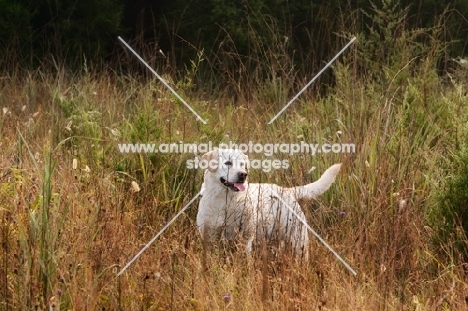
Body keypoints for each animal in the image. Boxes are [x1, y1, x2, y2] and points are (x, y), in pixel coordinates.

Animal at [196, 149, 342, 260]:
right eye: (228, 163)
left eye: (242, 164)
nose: (243, 174)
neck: (224, 201)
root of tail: (287, 190)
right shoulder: (208, 238)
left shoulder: (245, 240)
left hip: (298, 241)